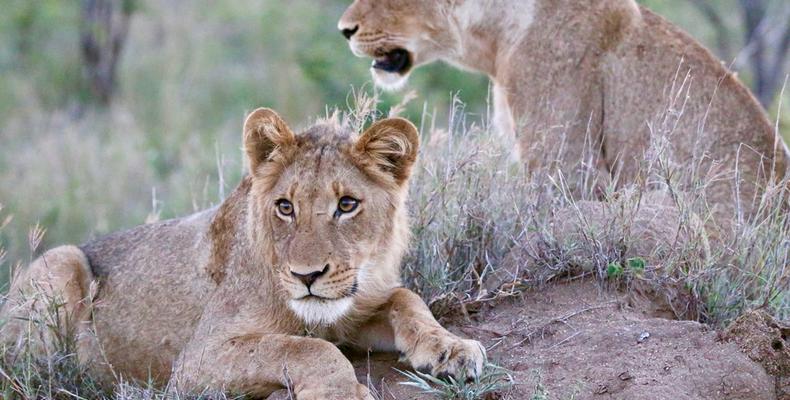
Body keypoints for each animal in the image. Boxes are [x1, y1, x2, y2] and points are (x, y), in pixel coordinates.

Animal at [0, 108, 486, 398]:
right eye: (285, 207)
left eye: (347, 204)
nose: (307, 276)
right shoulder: (196, 361)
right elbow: (304, 349)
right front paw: (344, 393)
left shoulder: (353, 312)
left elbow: (406, 299)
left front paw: (452, 349)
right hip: (62, 260)